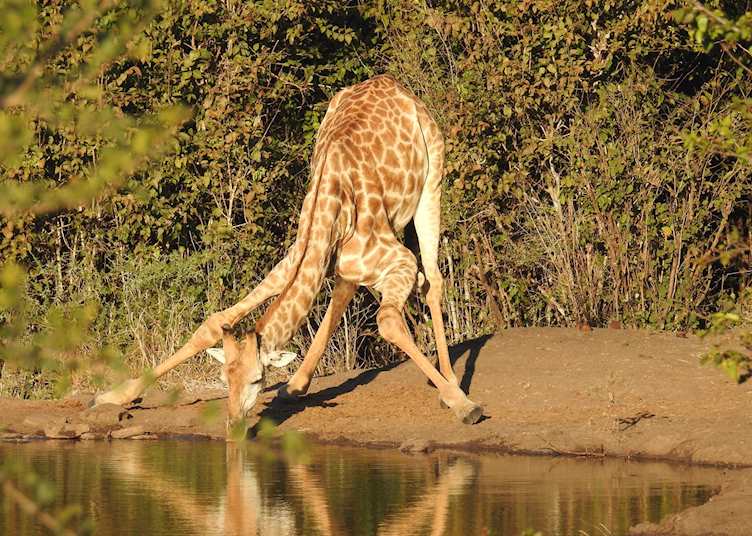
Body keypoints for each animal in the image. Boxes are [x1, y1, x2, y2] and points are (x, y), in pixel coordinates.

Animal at [94, 74, 483, 430]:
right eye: (223, 380)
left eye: (256, 380)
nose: (233, 423)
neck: (332, 208)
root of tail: (394, 84)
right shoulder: (297, 257)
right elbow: (214, 322)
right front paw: (114, 395)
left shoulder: (400, 260)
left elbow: (388, 321)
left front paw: (462, 403)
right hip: (352, 255)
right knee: (346, 290)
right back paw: (296, 385)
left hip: (432, 179)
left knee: (432, 279)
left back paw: (450, 383)